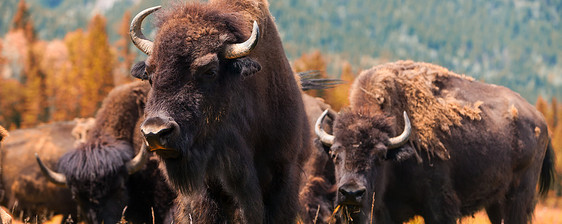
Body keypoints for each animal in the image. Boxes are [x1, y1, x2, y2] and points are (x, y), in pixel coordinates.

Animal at [312, 60, 552, 224]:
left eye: (380, 155)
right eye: (334, 153)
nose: (351, 193)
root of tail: (540, 119)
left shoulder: (439, 207)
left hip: (518, 198)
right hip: (496, 203)